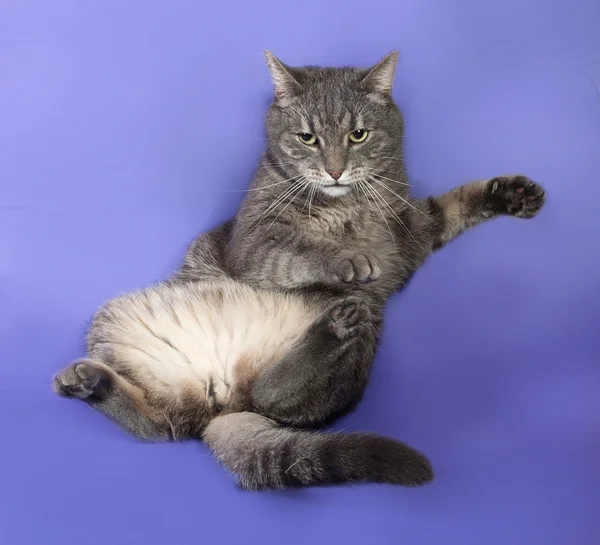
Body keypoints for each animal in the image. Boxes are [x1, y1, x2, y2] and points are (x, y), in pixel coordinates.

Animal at [54, 53, 548, 490]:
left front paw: (511, 194)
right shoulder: (254, 244)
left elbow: (454, 203)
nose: (334, 171)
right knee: (189, 420)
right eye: (308, 138)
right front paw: (346, 256)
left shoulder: (412, 226)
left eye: (358, 135)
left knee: (239, 405)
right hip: (116, 316)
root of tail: (223, 400)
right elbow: (299, 250)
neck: (344, 204)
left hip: (364, 335)